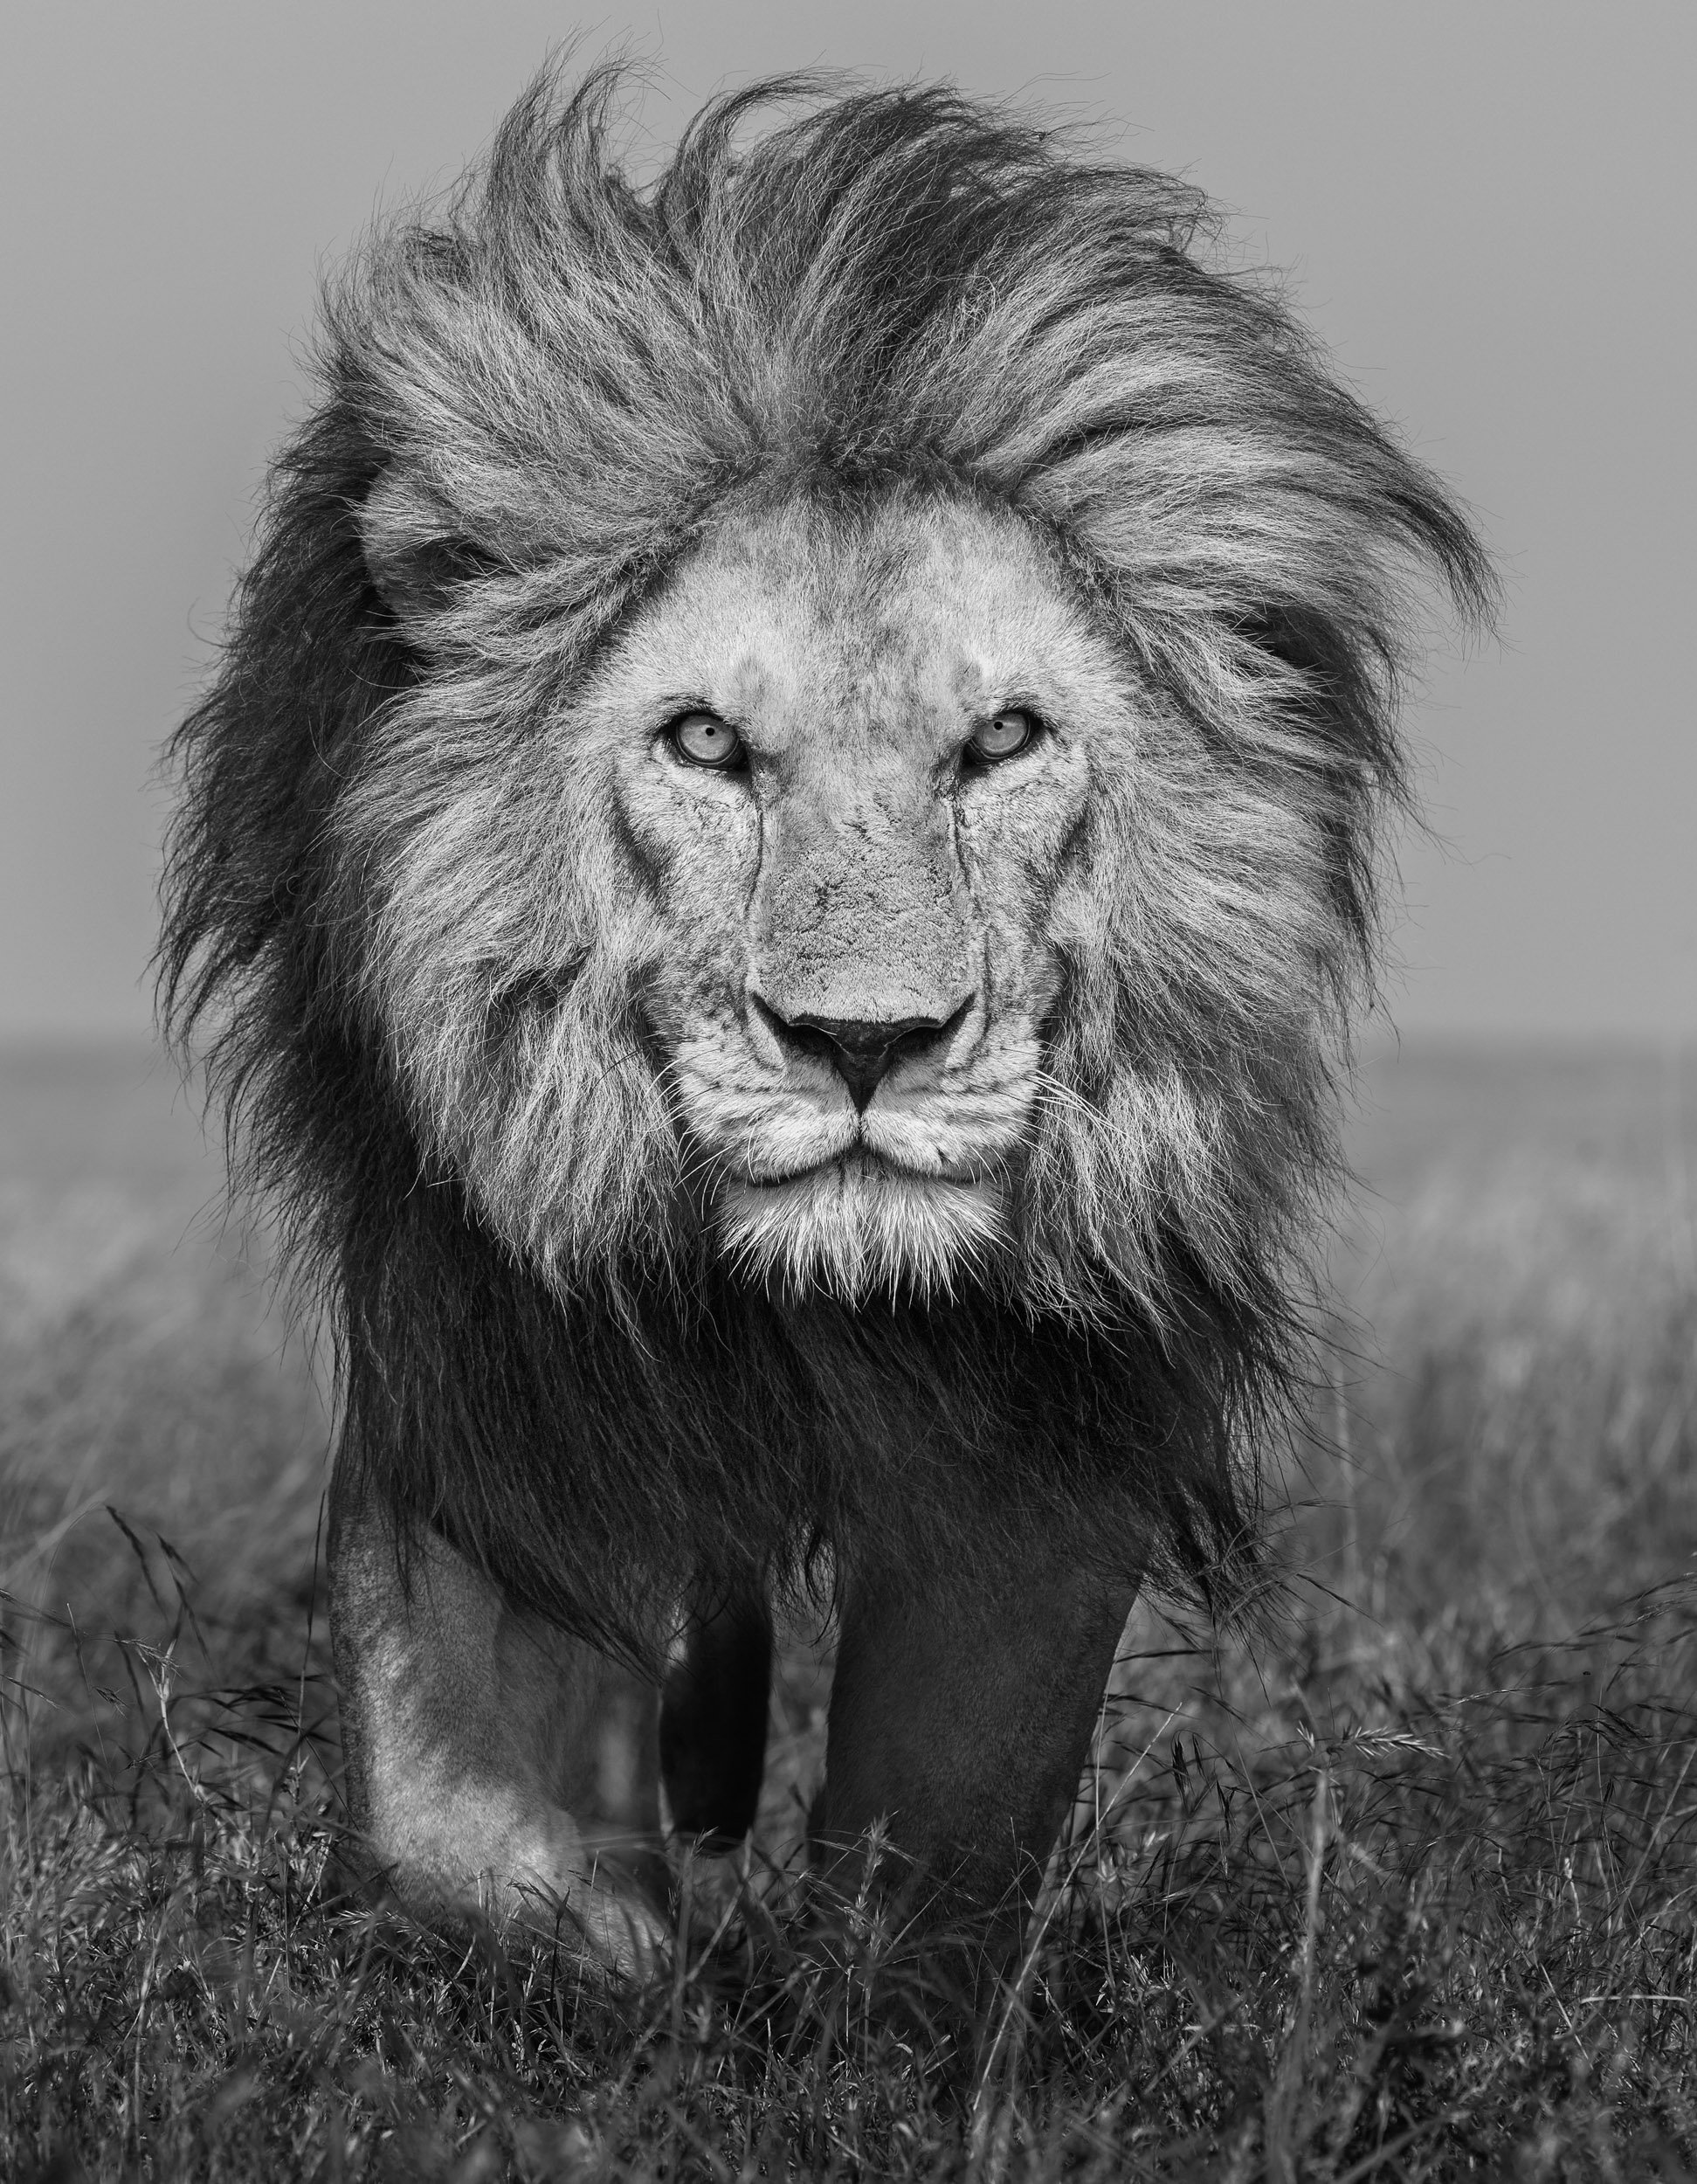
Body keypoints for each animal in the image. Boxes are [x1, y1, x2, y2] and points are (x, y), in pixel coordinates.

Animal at [159, 67, 1490, 1995]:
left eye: (1001, 739)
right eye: (705, 742)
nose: (865, 1043)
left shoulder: (1039, 1423)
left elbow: (946, 1833)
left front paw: (862, 1996)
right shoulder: (489, 1355)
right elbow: (459, 1824)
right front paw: (604, 1959)